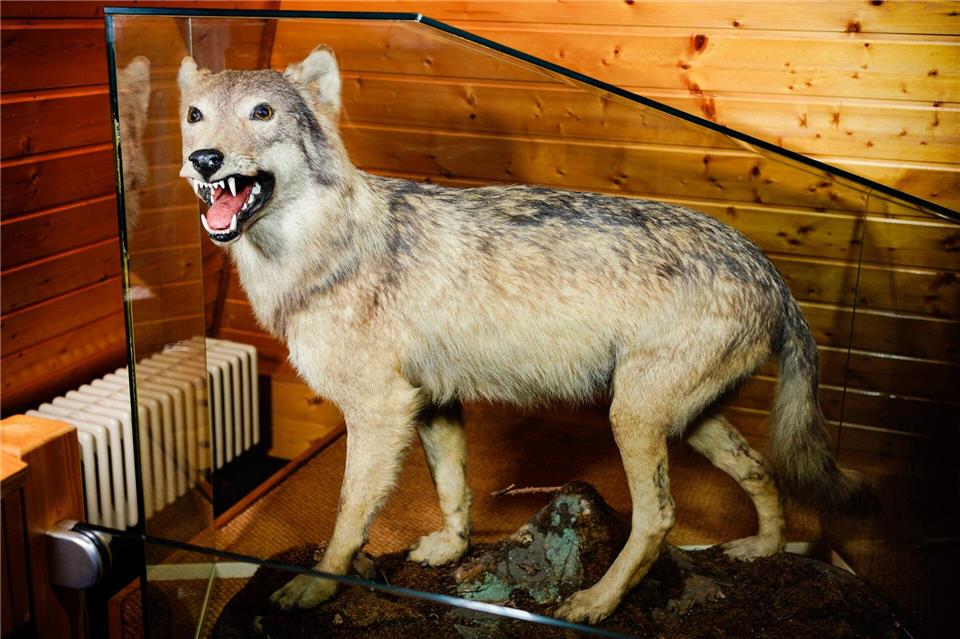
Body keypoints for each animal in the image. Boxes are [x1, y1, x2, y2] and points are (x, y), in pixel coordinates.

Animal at [176, 46, 875, 624]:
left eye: (262, 112)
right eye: (194, 115)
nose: (203, 159)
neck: (323, 252)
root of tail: (768, 270)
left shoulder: (380, 410)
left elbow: (349, 513)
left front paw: (317, 586)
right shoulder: (431, 403)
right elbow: (453, 487)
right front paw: (449, 550)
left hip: (633, 419)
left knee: (660, 520)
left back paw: (596, 603)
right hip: (688, 420)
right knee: (760, 470)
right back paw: (763, 550)